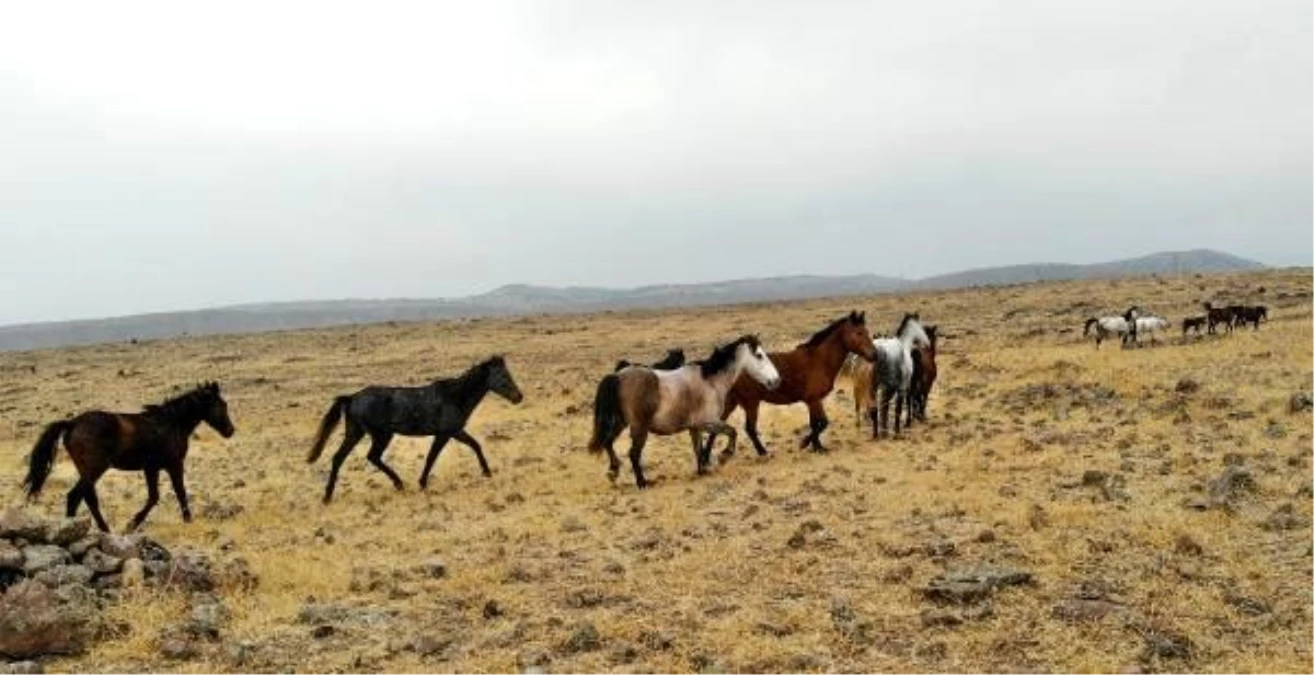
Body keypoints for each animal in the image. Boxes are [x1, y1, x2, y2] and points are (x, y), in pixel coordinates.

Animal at [22, 378, 236, 530]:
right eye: (222, 405)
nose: (230, 431)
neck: (171, 423)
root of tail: (72, 423)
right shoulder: (174, 464)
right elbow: (179, 493)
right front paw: (186, 521)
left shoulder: (151, 469)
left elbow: (154, 497)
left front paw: (132, 524)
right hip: (95, 469)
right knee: (76, 496)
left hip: (88, 471)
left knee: (83, 498)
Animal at [310, 354, 525, 501]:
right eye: (502, 375)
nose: (519, 397)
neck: (454, 396)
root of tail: (352, 397)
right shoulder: (445, 433)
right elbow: (432, 457)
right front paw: (422, 484)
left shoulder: (455, 432)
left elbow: (475, 445)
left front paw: (487, 472)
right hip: (381, 435)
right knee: (370, 457)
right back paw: (398, 483)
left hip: (357, 433)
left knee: (342, 458)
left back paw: (328, 496)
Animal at [586, 333, 777, 485]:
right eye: (759, 355)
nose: (775, 381)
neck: (710, 381)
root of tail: (617, 376)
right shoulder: (708, 422)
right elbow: (732, 432)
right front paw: (724, 455)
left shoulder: (695, 428)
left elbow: (698, 449)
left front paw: (702, 472)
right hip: (639, 428)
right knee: (633, 453)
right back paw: (642, 483)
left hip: (620, 422)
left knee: (608, 442)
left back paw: (614, 471)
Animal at [714, 308, 877, 451]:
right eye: (859, 332)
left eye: (867, 332)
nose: (874, 355)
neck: (819, 360)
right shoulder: (814, 400)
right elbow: (821, 423)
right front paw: (806, 443)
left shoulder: (813, 401)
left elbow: (816, 423)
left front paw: (818, 447)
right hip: (751, 403)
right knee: (750, 429)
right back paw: (762, 452)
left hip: (732, 402)